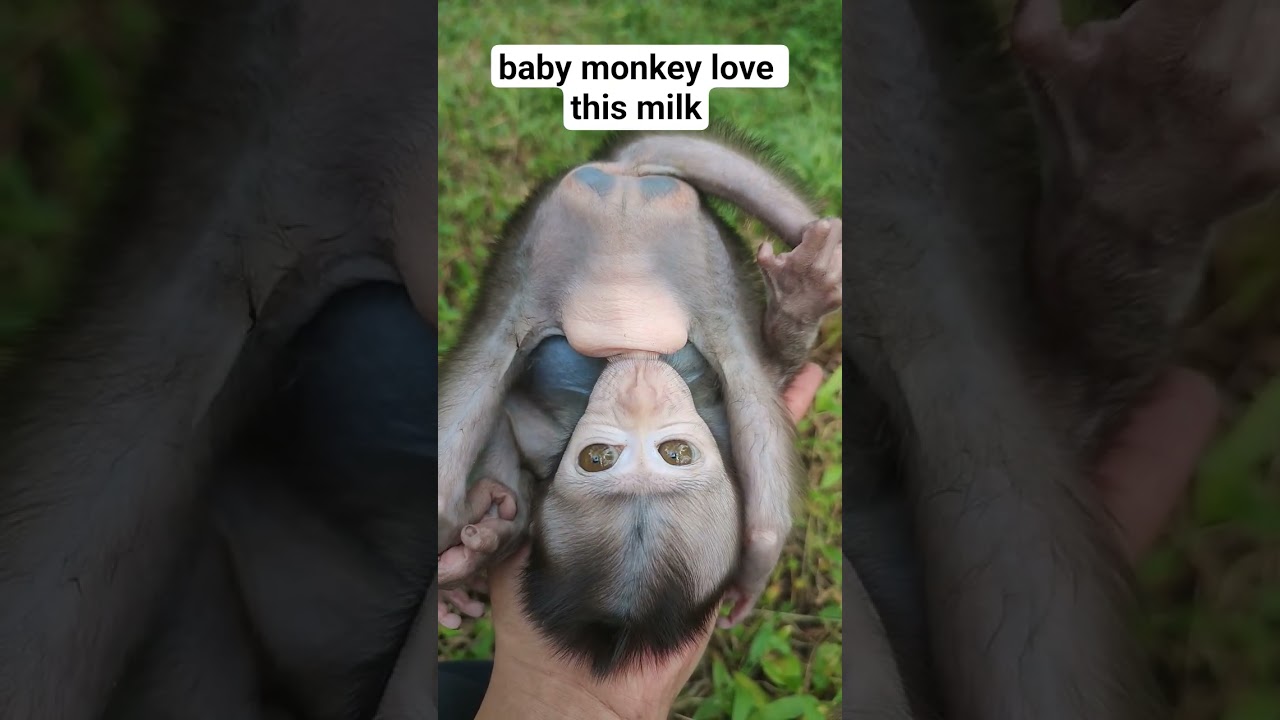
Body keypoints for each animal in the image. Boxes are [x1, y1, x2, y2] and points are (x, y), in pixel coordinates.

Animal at [433, 128, 843, 678]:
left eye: (675, 453)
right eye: (597, 458)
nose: (640, 392)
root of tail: (625, 176)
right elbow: (762, 527)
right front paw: (478, 550)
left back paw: (802, 294)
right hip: (536, 253)